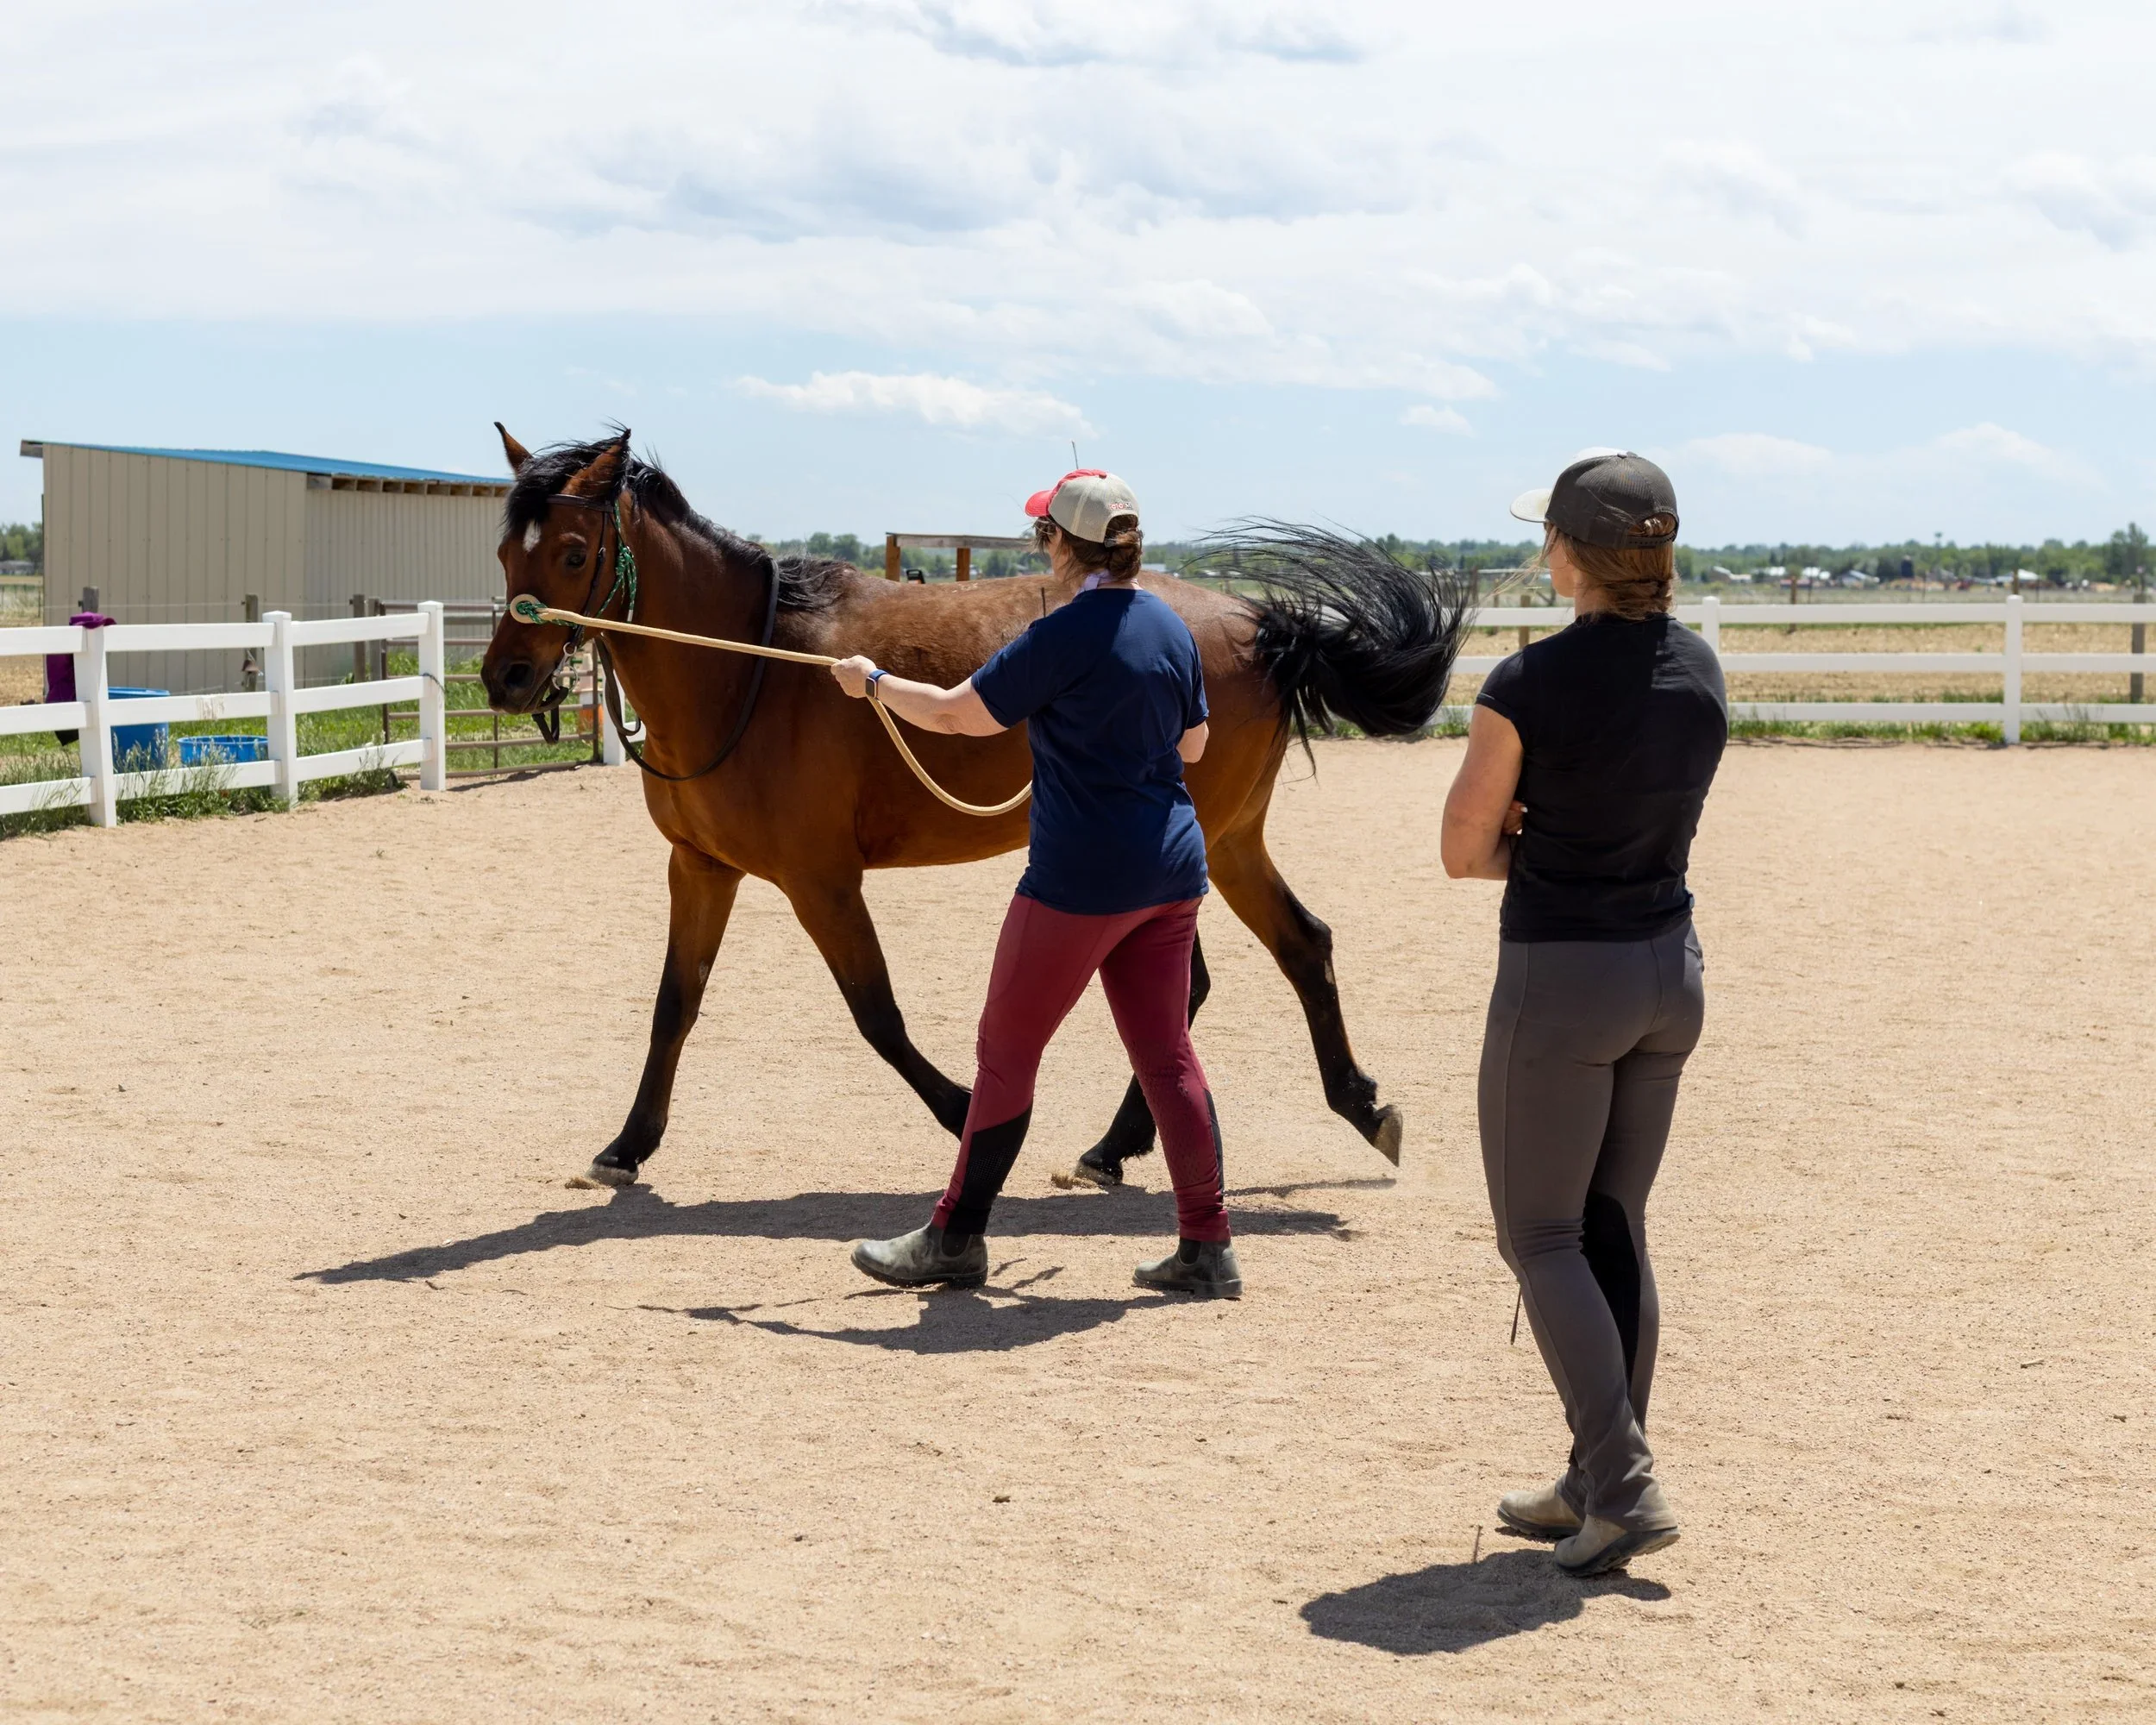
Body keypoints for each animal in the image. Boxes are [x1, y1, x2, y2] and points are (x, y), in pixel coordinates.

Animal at [480, 428, 1467, 1191]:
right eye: (505, 552)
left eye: (573, 552)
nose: (505, 680)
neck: (750, 668)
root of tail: (1267, 627)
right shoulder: (700, 869)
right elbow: (673, 1005)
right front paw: (627, 1145)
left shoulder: (820, 881)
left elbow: (877, 1015)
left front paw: (967, 1112)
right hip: (1223, 845)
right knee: (1293, 947)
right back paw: (1318, 1112)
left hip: (1194, 845)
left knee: (1206, 979)